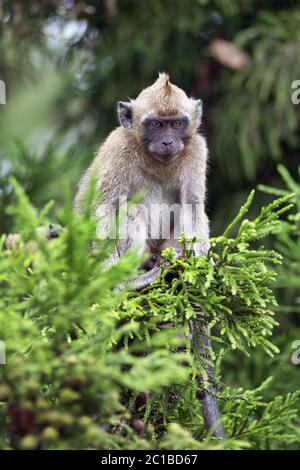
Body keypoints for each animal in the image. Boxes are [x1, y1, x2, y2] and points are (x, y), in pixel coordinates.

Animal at [74, 72, 225, 436]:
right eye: (156, 124)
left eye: (176, 124)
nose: (168, 141)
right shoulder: (117, 149)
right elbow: (104, 206)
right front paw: (113, 281)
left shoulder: (196, 150)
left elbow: (192, 205)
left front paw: (200, 268)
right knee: (129, 208)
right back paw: (135, 278)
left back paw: (170, 265)